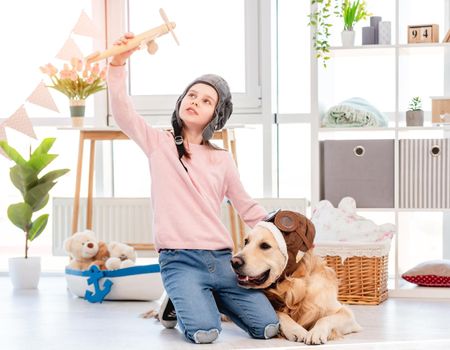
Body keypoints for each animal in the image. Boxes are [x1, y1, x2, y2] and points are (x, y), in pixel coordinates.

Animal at [232, 211, 362, 344]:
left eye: (265, 246)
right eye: (246, 242)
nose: (234, 262)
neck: (293, 285)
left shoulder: (347, 315)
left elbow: (324, 319)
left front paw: (316, 332)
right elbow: (280, 314)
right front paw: (296, 330)